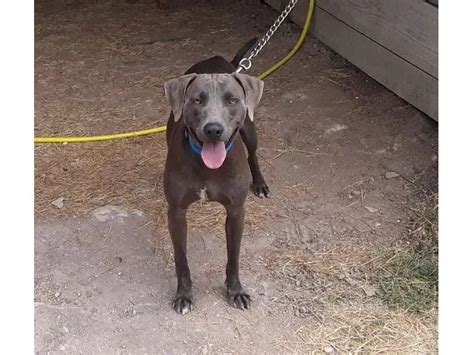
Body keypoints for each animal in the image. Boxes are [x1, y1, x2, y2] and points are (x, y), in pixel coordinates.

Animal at [164, 39, 270, 316]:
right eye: (196, 100)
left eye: (232, 100)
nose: (214, 129)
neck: (206, 164)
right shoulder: (176, 212)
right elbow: (181, 259)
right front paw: (184, 295)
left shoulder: (236, 211)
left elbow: (234, 256)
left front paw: (236, 291)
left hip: (250, 131)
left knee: (254, 154)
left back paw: (260, 183)